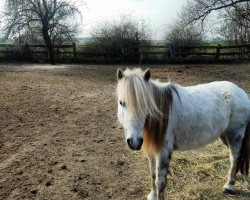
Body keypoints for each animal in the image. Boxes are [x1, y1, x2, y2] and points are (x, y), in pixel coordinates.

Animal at [116, 67, 250, 200]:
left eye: (145, 104)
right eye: (121, 103)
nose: (134, 142)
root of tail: (241, 93)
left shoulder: (163, 152)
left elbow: (160, 182)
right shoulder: (151, 151)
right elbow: (153, 174)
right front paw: (152, 195)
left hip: (234, 136)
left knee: (234, 158)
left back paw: (229, 186)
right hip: (224, 136)